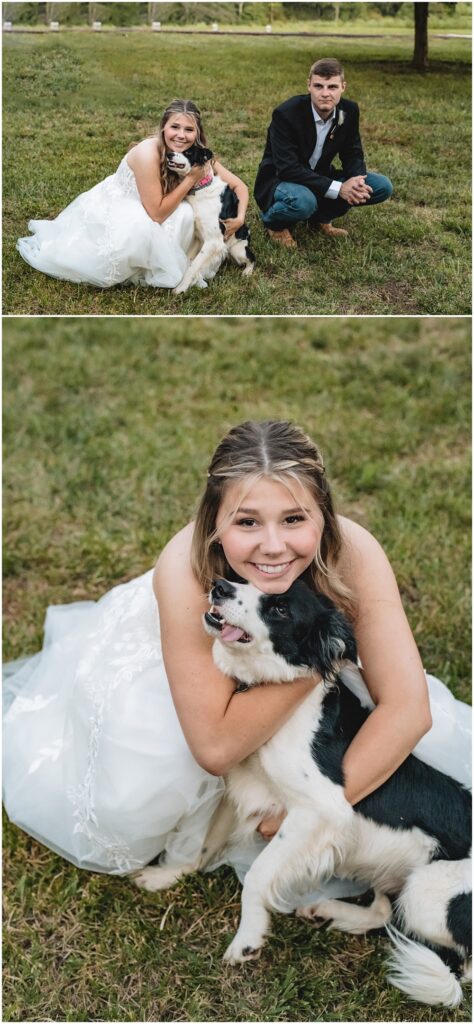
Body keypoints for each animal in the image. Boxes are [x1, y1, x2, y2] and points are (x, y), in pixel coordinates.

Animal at [135, 577, 472, 1007]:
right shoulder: (238, 787)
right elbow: (204, 846)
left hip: (426, 891)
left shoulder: (319, 809)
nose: (221, 585)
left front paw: (247, 939)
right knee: (382, 912)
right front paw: (167, 875)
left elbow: (258, 874)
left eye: (280, 609)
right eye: (245, 578)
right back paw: (329, 910)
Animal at [166, 142, 255, 292]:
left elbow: (193, 266)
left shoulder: (212, 241)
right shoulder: (198, 237)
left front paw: (181, 288)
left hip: (238, 250)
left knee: (252, 258)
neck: (201, 187)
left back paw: (247, 272)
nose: (168, 154)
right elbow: (189, 261)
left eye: (188, 152)